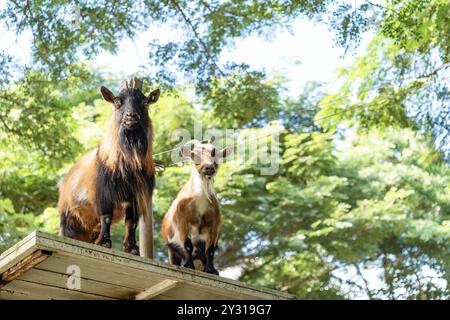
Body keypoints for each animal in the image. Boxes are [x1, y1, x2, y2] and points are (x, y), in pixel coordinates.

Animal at [57, 79, 160, 256]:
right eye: (118, 102)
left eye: (145, 102)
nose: (131, 116)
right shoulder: (103, 194)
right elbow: (106, 217)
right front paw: (105, 243)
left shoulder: (135, 198)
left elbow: (131, 222)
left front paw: (132, 248)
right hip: (67, 213)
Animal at [162, 140, 230, 276]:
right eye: (194, 155)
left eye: (216, 155)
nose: (209, 168)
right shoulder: (183, 224)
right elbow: (188, 245)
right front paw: (189, 266)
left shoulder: (214, 226)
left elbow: (210, 249)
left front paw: (212, 270)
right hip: (171, 249)